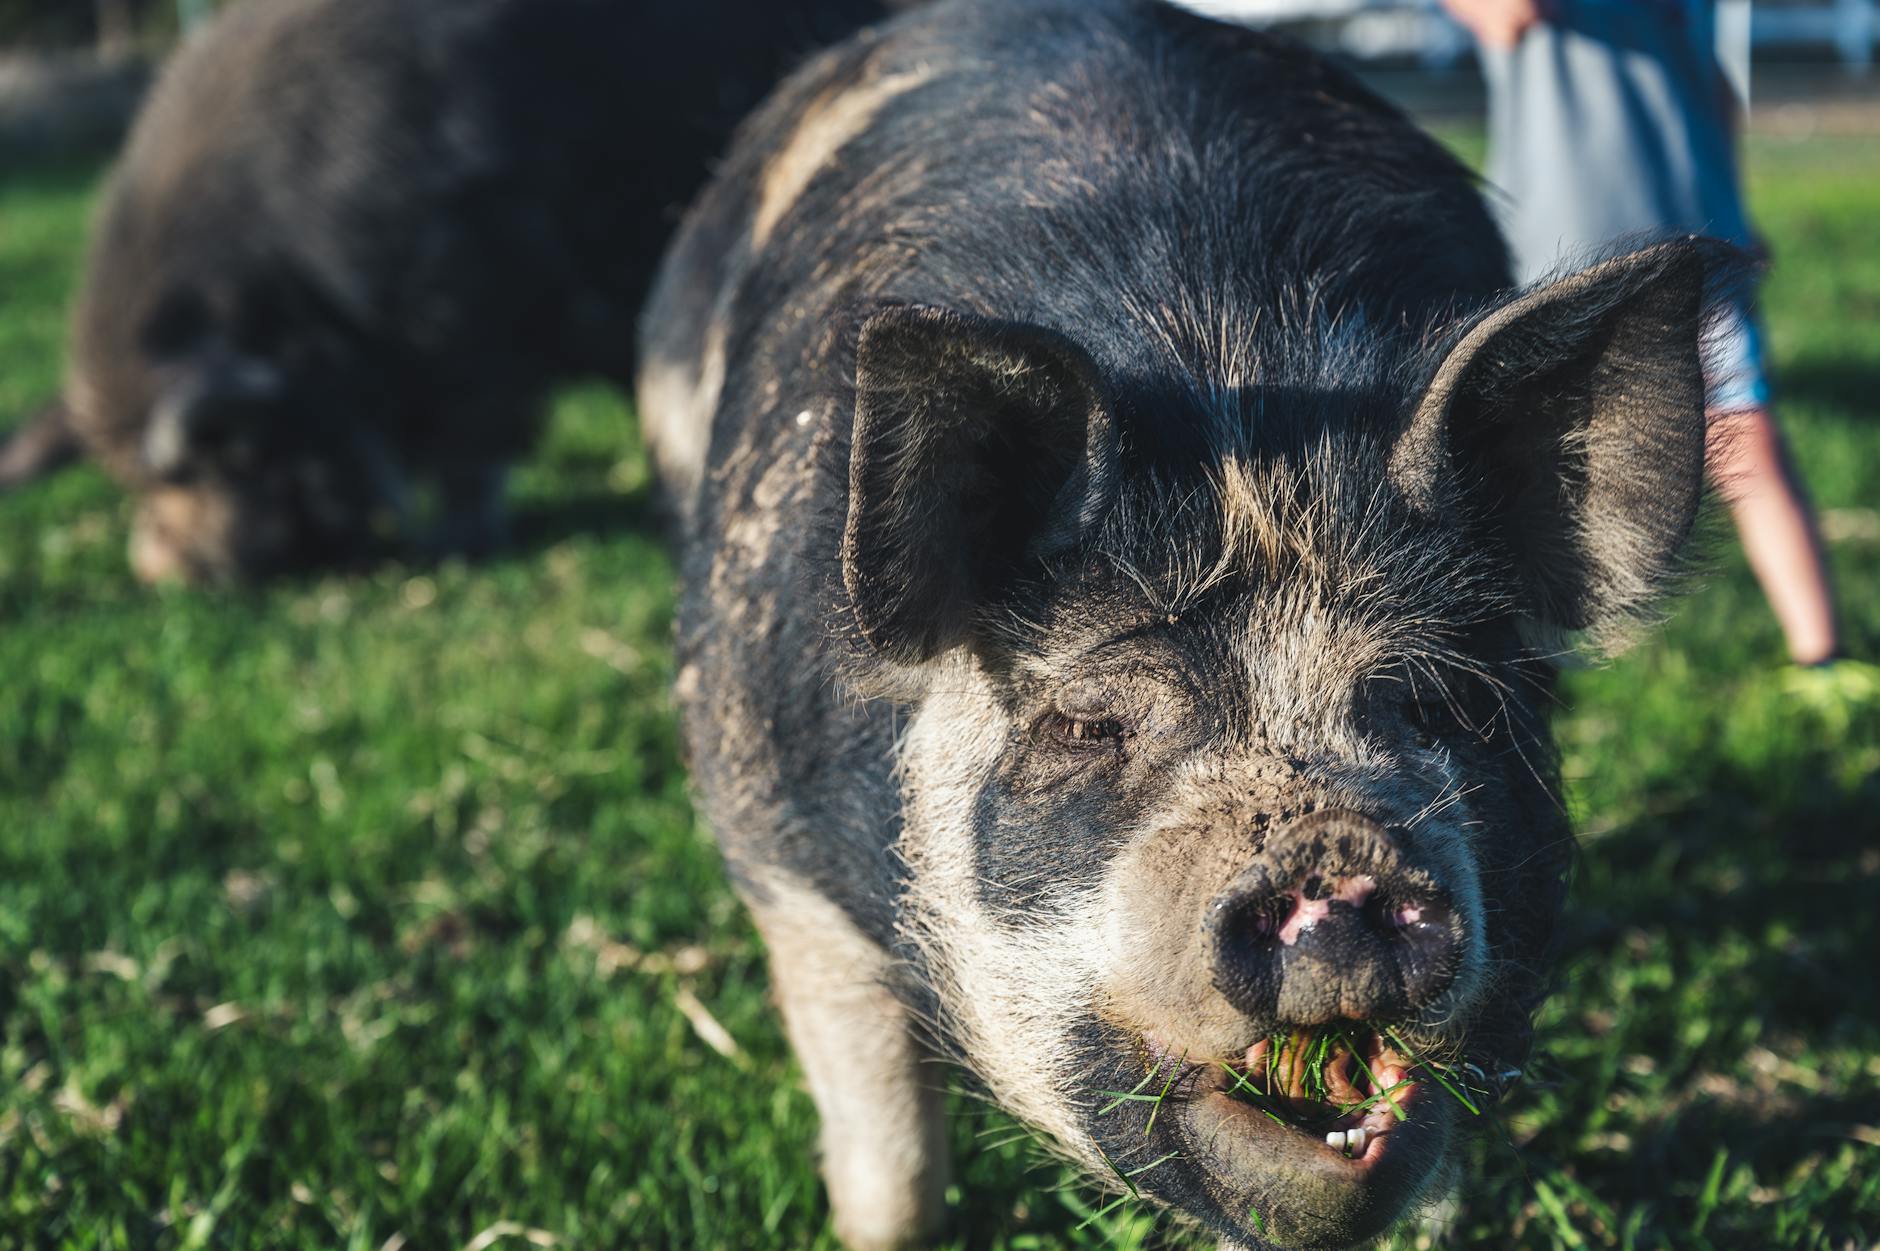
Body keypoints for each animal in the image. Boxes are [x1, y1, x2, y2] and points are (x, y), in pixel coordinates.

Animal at [639, 2, 1737, 1249]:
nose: (1333, 853)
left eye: (1441, 701)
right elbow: (888, 1164)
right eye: (1086, 724)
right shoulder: (771, 847)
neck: (1231, 392)